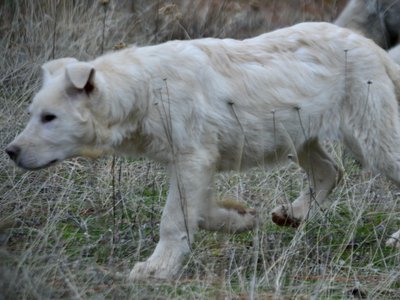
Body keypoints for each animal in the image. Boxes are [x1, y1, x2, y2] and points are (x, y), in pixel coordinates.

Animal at [4, 22, 400, 280]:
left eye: (50, 117)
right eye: (33, 114)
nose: (10, 151)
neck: (146, 89)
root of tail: (374, 48)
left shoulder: (192, 159)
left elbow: (172, 219)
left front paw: (157, 269)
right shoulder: (198, 165)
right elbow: (200, 213)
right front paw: (241, 218)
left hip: (372, 138)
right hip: (298, 136)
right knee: (330, 171)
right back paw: (293, 214)